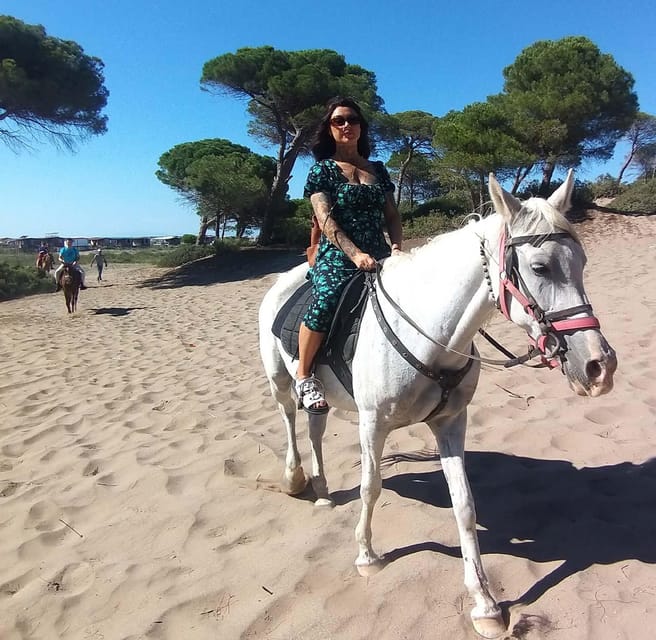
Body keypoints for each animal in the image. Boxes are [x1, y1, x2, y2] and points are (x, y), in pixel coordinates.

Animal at [258, 171, 617, 639]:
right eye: (540, 267)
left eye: (583, 263)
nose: (599, 366)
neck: (429, 332)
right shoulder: (372, 424)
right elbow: (371, 487)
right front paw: (367, 556)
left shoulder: (450, 423)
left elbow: (464, 504)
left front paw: (484, 603)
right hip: (280, 381)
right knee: (289, 420)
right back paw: (295, 478)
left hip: (322, 396)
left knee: (315, 426)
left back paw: (321, 491)